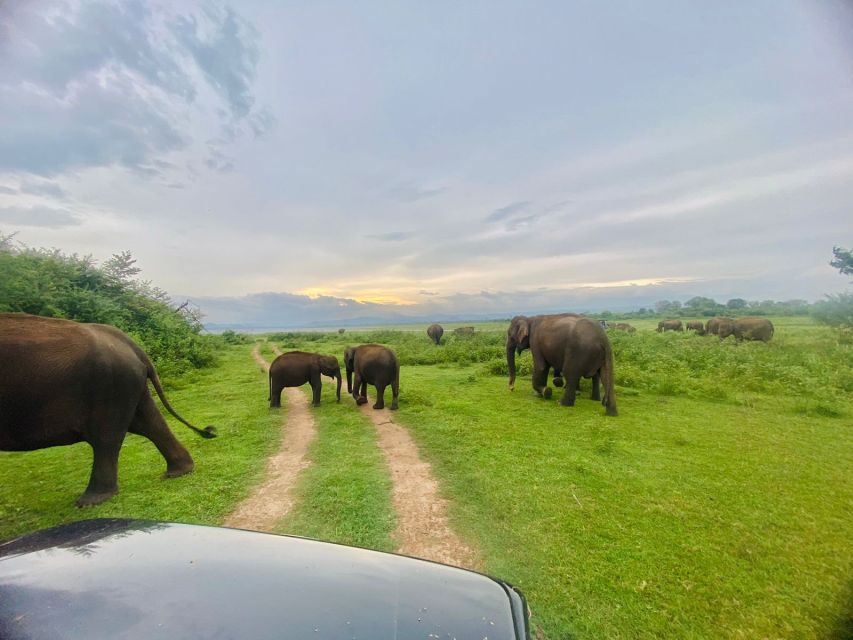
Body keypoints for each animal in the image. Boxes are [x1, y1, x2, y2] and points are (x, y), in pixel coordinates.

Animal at [0, 312, 216, 508]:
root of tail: (131, 344)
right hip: (125, 383)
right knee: (149, 423)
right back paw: (178, 472)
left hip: (110, 385)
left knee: (107, 438)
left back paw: (89, 501)